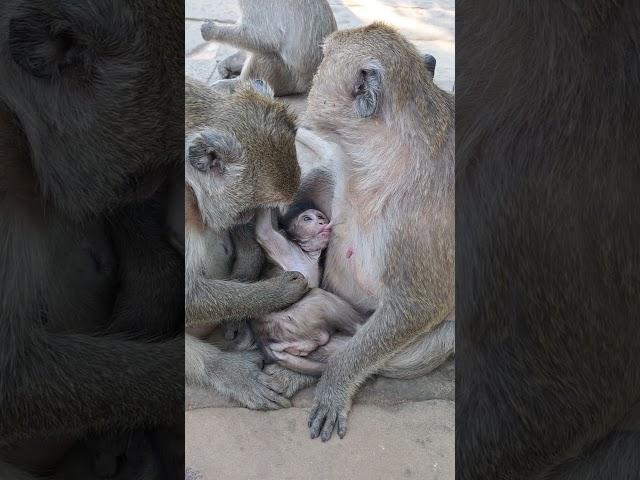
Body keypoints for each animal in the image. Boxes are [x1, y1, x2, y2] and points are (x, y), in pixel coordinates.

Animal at [202, 0, 338, 95]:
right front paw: (229, 62)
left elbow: (268, 38)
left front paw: (212, 31)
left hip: (287, 79)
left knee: (262, 54)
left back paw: (237, 84)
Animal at [255, 206, 364, 360]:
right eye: (307, 219)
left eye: (320, 217)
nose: (321, 222)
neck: (307, 255)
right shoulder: (284, 247)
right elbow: (263, 230)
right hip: (290, 322)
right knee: (320, 297)